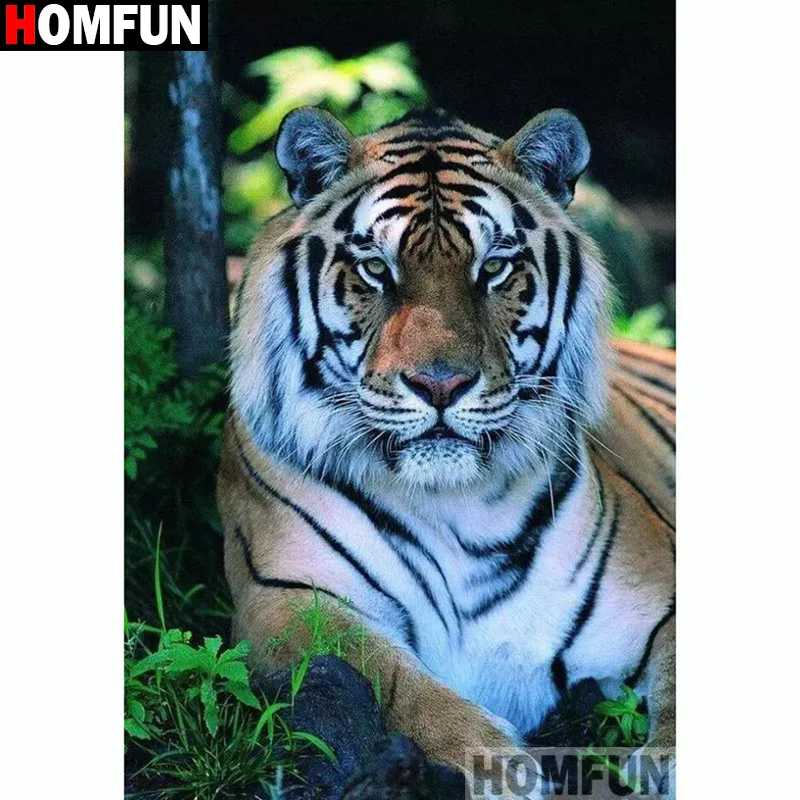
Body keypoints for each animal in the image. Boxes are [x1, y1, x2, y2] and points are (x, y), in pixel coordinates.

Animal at [217, 106, 675, 798]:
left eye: (494, 268)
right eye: (377, 270)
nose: (440, 384)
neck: (452, 505)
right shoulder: (286, 601)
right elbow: (396, 684)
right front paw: (501, 767)